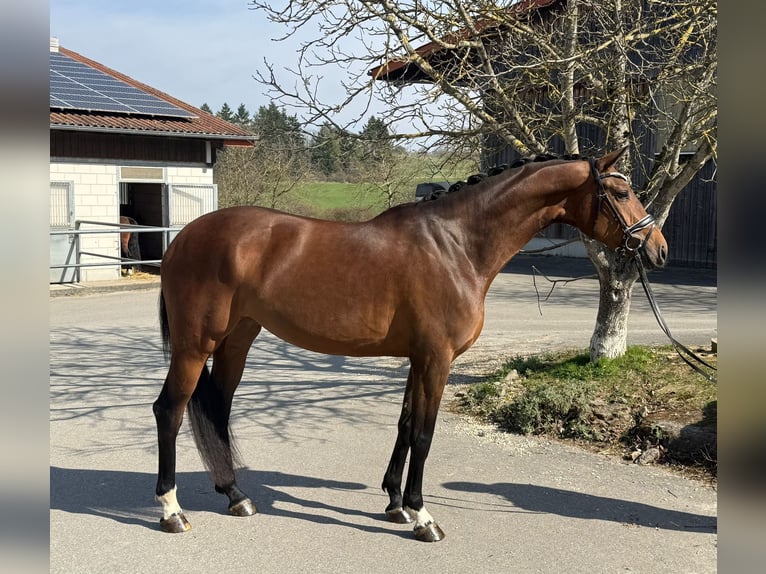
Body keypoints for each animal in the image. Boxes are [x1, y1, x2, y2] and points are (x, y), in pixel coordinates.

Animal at [153, 147, 667, 541]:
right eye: (621, 193)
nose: (657, 249)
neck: (455, 245)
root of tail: (181, 240)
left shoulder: (418, 359)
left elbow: (404, 426)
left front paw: (396, 504)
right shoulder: (437, 360)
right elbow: (424, 434)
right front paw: (423, 517)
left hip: (237, 339)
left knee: (217, 410)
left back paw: (236, 496)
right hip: (195, 346)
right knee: (170, 411)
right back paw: (172, 511)